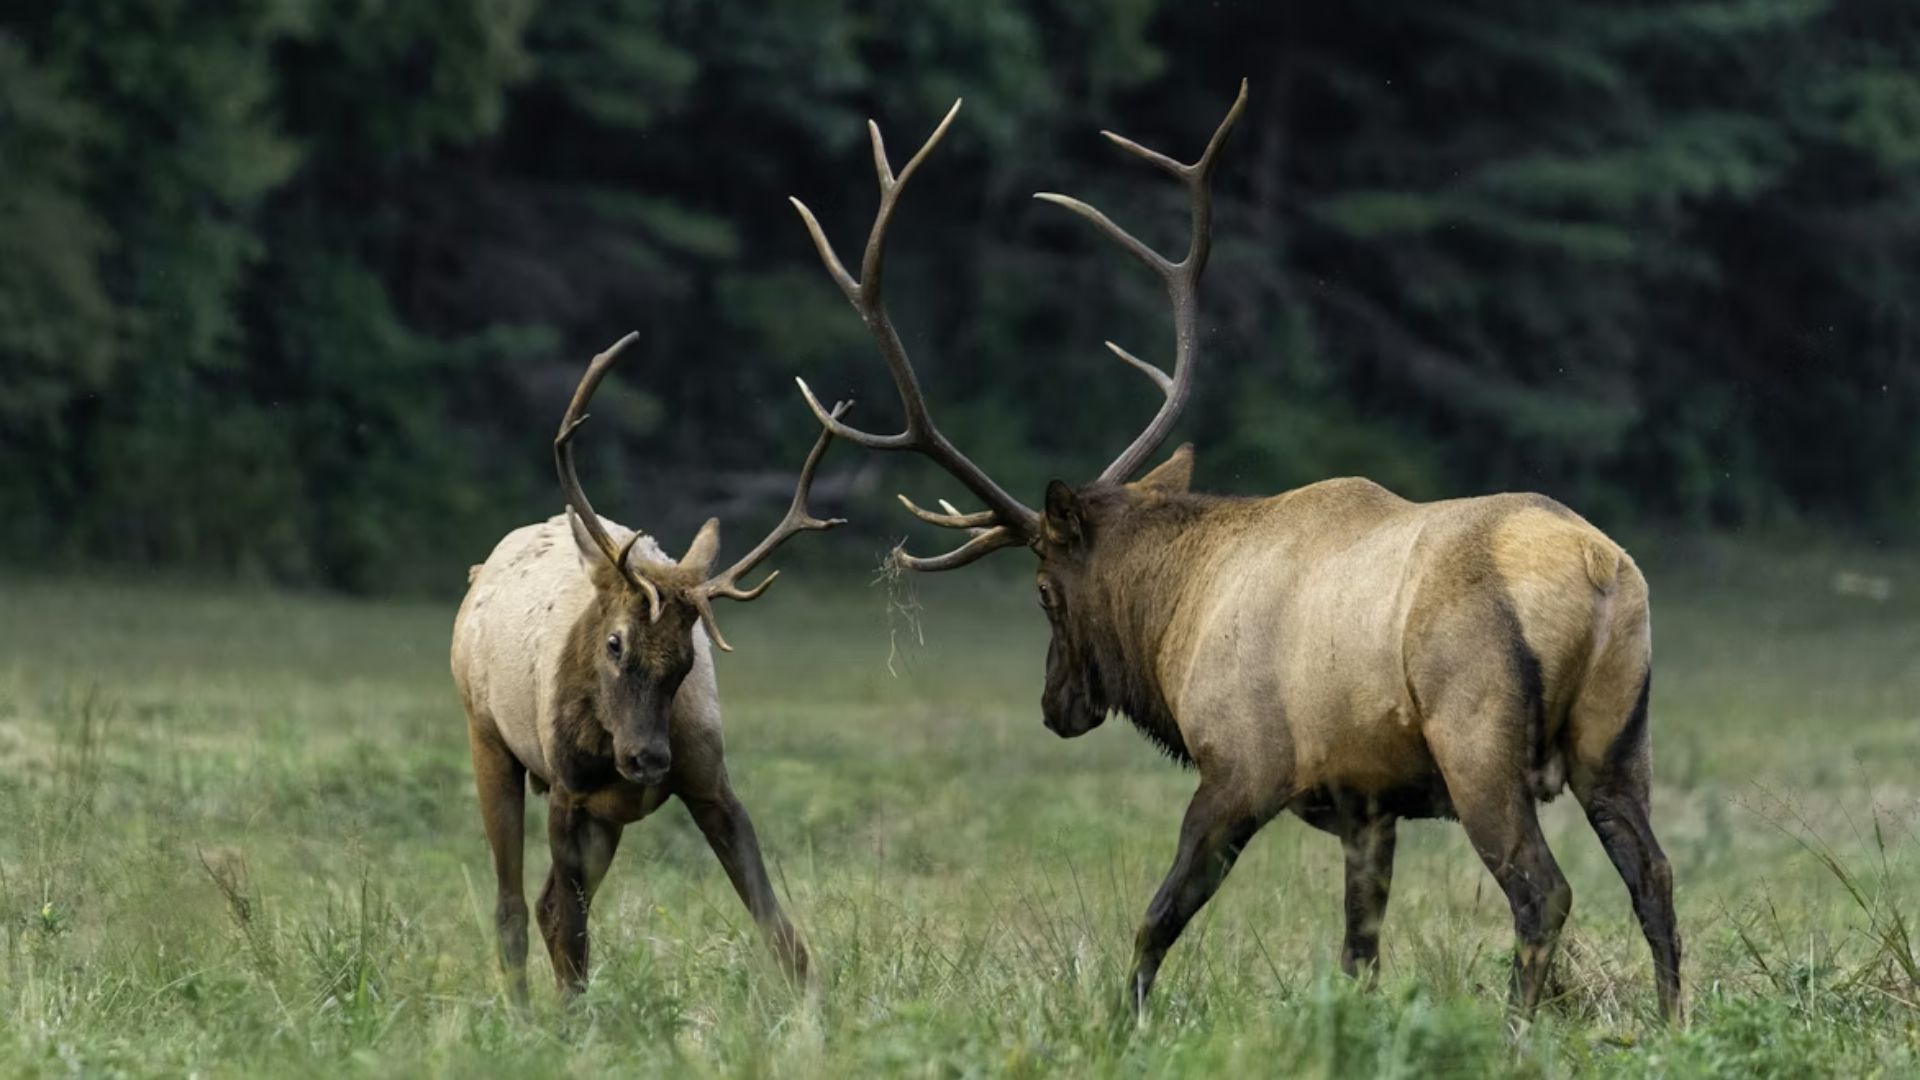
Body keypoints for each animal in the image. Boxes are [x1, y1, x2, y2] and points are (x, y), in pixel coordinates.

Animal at [450, 332, 840, 1001]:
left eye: (687, 660)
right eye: (614, 642)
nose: (647, 759)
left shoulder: (709, 781)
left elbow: (779, 928)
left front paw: (814, 1007)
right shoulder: (569, 791)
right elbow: (573, 936)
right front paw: (571, 1019)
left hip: (607, 814)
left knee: (545, 905)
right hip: (490, 738)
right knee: (514, 906)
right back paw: (522, 1009)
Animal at [785, 82, 1681, 1025]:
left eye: (1043, 590)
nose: (1055, 705)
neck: (1177, 617)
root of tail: (1601, 575)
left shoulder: (1240, 769)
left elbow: (1158, 918)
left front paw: (1123, 1023)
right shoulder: (1368, 804)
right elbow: (1359, 950)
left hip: (1478, 740)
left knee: (1542, 892)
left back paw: (1515, 1032)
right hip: (1618, 741)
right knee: (1653, 876)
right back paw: (1672, 1021)